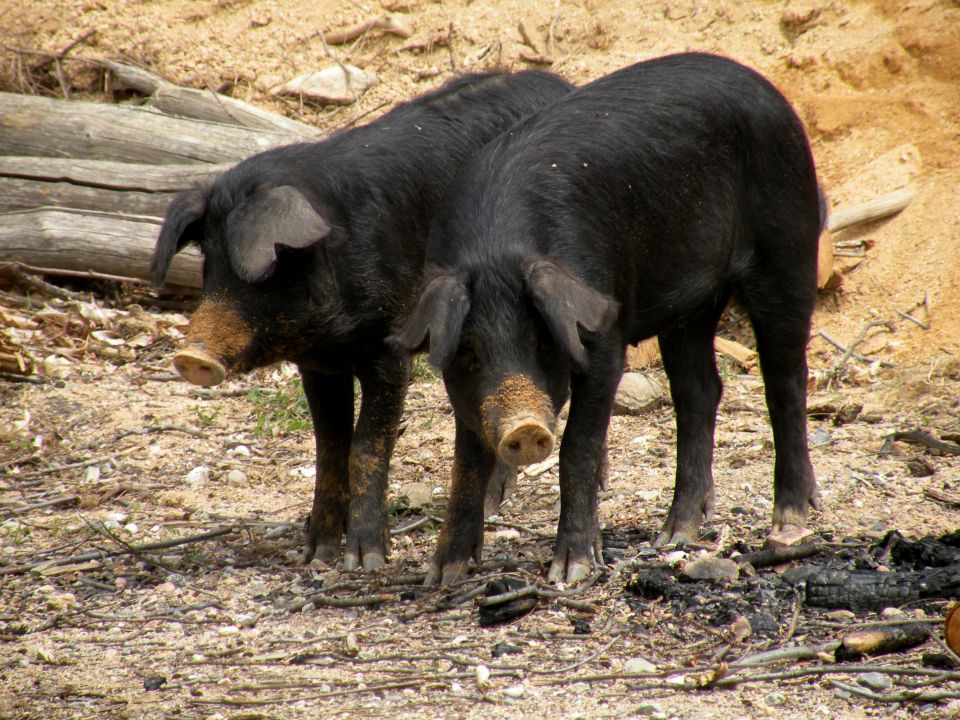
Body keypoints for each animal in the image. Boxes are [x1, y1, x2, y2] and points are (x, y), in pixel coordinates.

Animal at [150, 70, 568, 572]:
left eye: (264, 268)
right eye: (209, 265)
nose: (190, 357)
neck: (331, 331)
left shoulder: (389, 348)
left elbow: (366, 447)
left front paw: (365, 561)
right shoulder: (319, 366)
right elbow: (330, 448)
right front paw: (317, 555)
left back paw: (494, 498)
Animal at [390, 54, 824, 584]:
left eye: (542, 340)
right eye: (470, 350)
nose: (524, 429)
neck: (496, 248)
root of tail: (768, 89)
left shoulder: (603, 338)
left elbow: (578, 444)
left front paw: (572, 571)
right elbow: (467, 460)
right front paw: (443, 574)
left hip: (788, 245)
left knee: (786, 379)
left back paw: (788, 524)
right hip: (691, 303)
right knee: (699, 391)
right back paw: (674, 535)